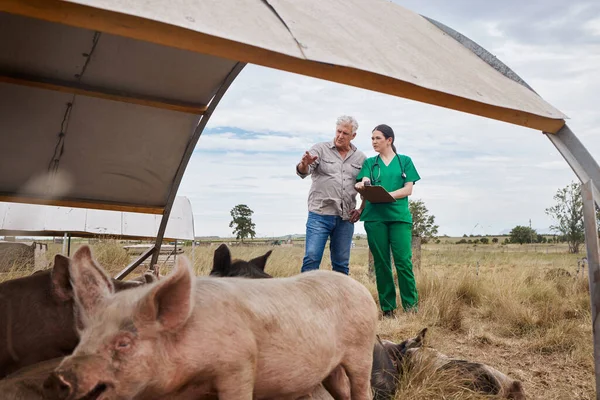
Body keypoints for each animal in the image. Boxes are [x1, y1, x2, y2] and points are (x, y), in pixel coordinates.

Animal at [44, 245, 378, 400]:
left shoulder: (239, 364)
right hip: (331, 368)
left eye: (124, 343)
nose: (56, 379)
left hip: (361, 352)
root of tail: (360, 288)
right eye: (82, 336)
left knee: (363, 390)